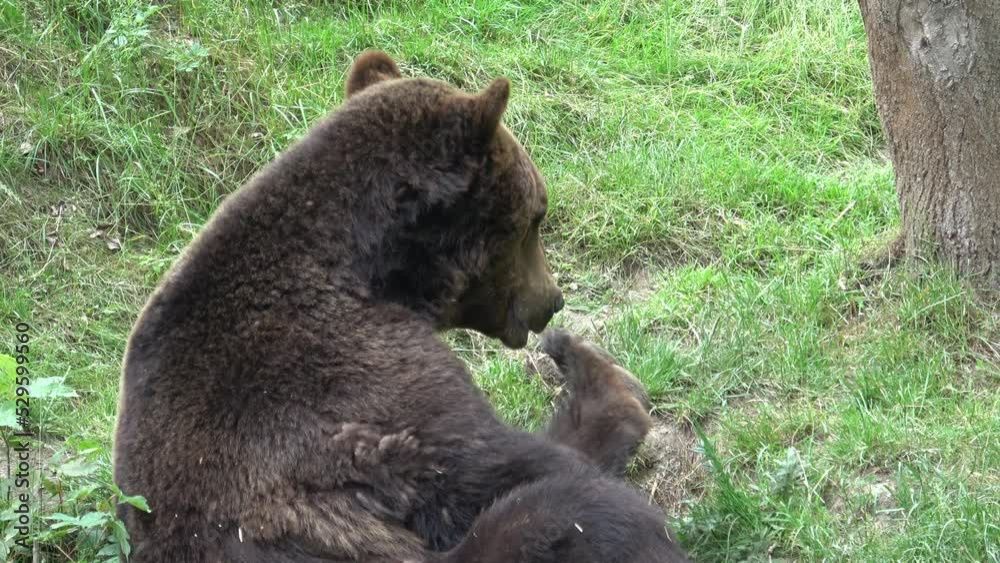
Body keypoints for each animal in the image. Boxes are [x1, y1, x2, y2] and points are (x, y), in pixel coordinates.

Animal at [113, 50, 684, 562]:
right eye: (537, 217)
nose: (552, 302)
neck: (364, 271)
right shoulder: (355, 388)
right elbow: (513, 465)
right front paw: (598, 373)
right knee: (567, 507)